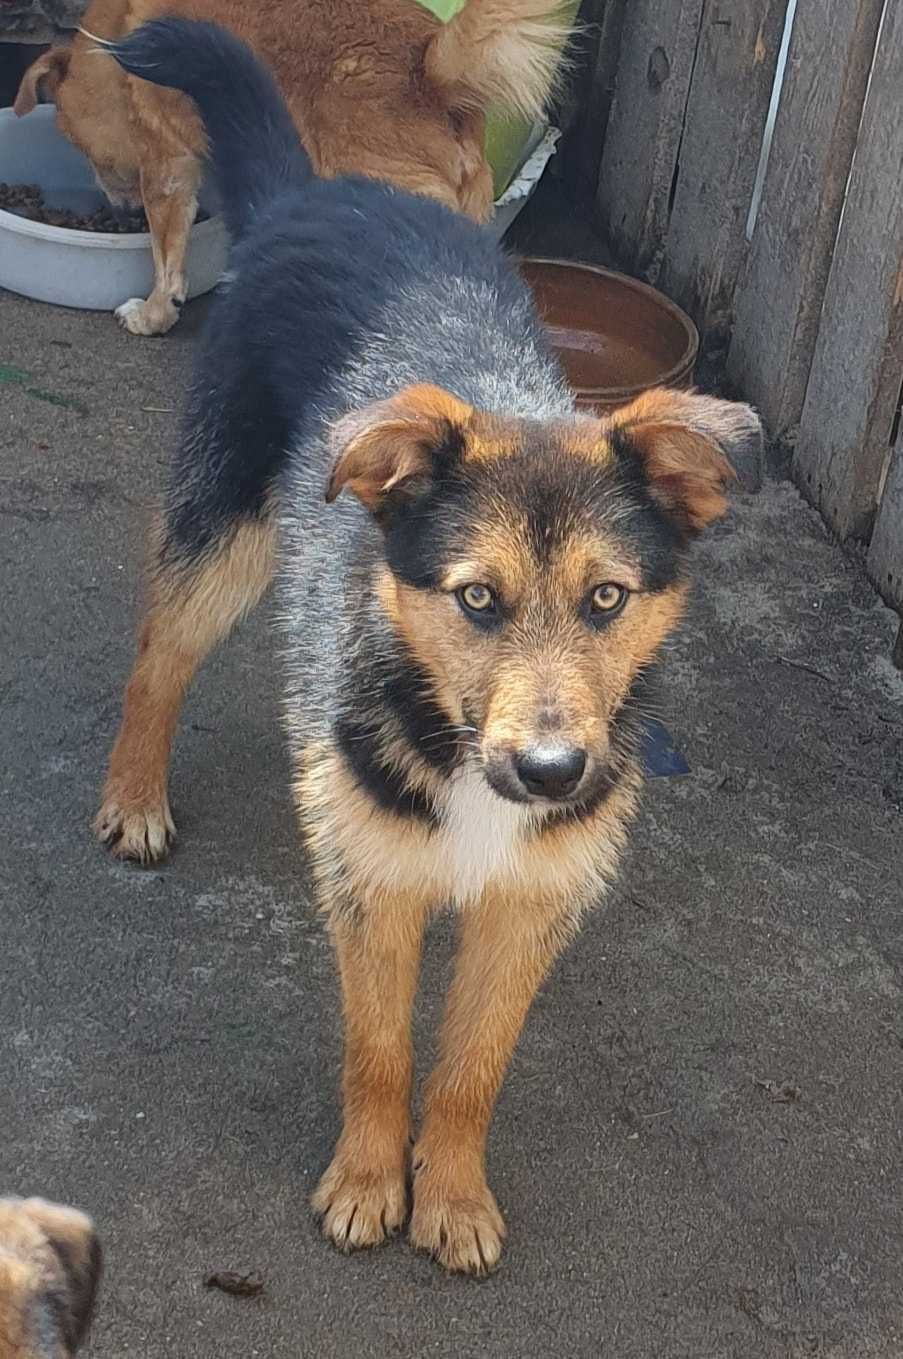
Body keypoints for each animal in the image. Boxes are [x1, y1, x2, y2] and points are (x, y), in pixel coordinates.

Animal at [14, 1, 568, 335]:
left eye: (85, 154)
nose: (120, 211)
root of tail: (428, 72)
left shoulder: (167, 170)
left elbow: (167, 265)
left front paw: (153, 315)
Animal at [95, 18, 756, 1272]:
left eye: (607, 599)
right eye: (477, 599)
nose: (550, 772)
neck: (447, 732)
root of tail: (314, 191)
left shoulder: (533, 903)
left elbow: (470, 1066)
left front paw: (449, 1193)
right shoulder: (375, 888)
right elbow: (382, 1050)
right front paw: (367, 1182)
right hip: (229, 529)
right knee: (159, 646)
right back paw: (135, 796)